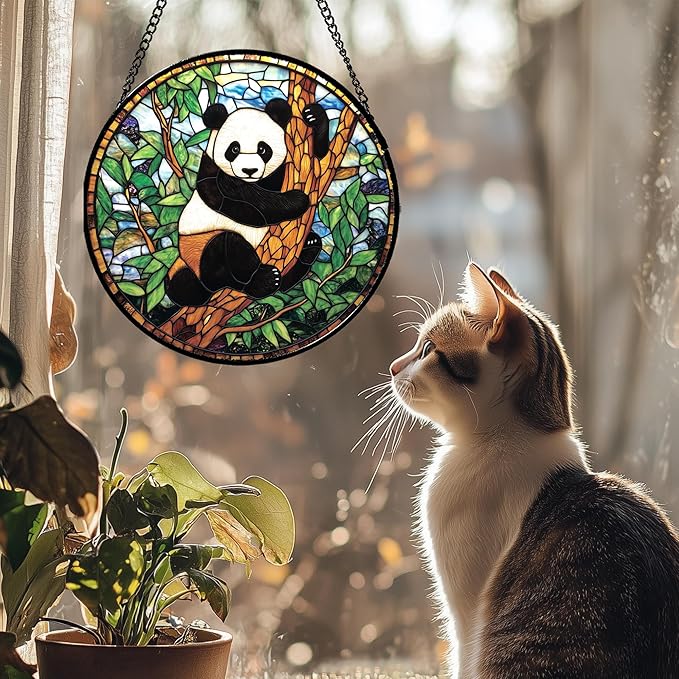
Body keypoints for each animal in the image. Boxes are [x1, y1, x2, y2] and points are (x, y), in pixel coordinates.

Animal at [166, 98, 329, 307]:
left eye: (263, 149)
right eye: (234, 149)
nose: (249, 170)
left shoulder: (279, 173)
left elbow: (317, 161)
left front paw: (314, 116)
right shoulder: (211, 174)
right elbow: (244, 202)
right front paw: (298, 200)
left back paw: (309, 246)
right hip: (199, 250)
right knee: (226, 250)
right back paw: (263, 281)